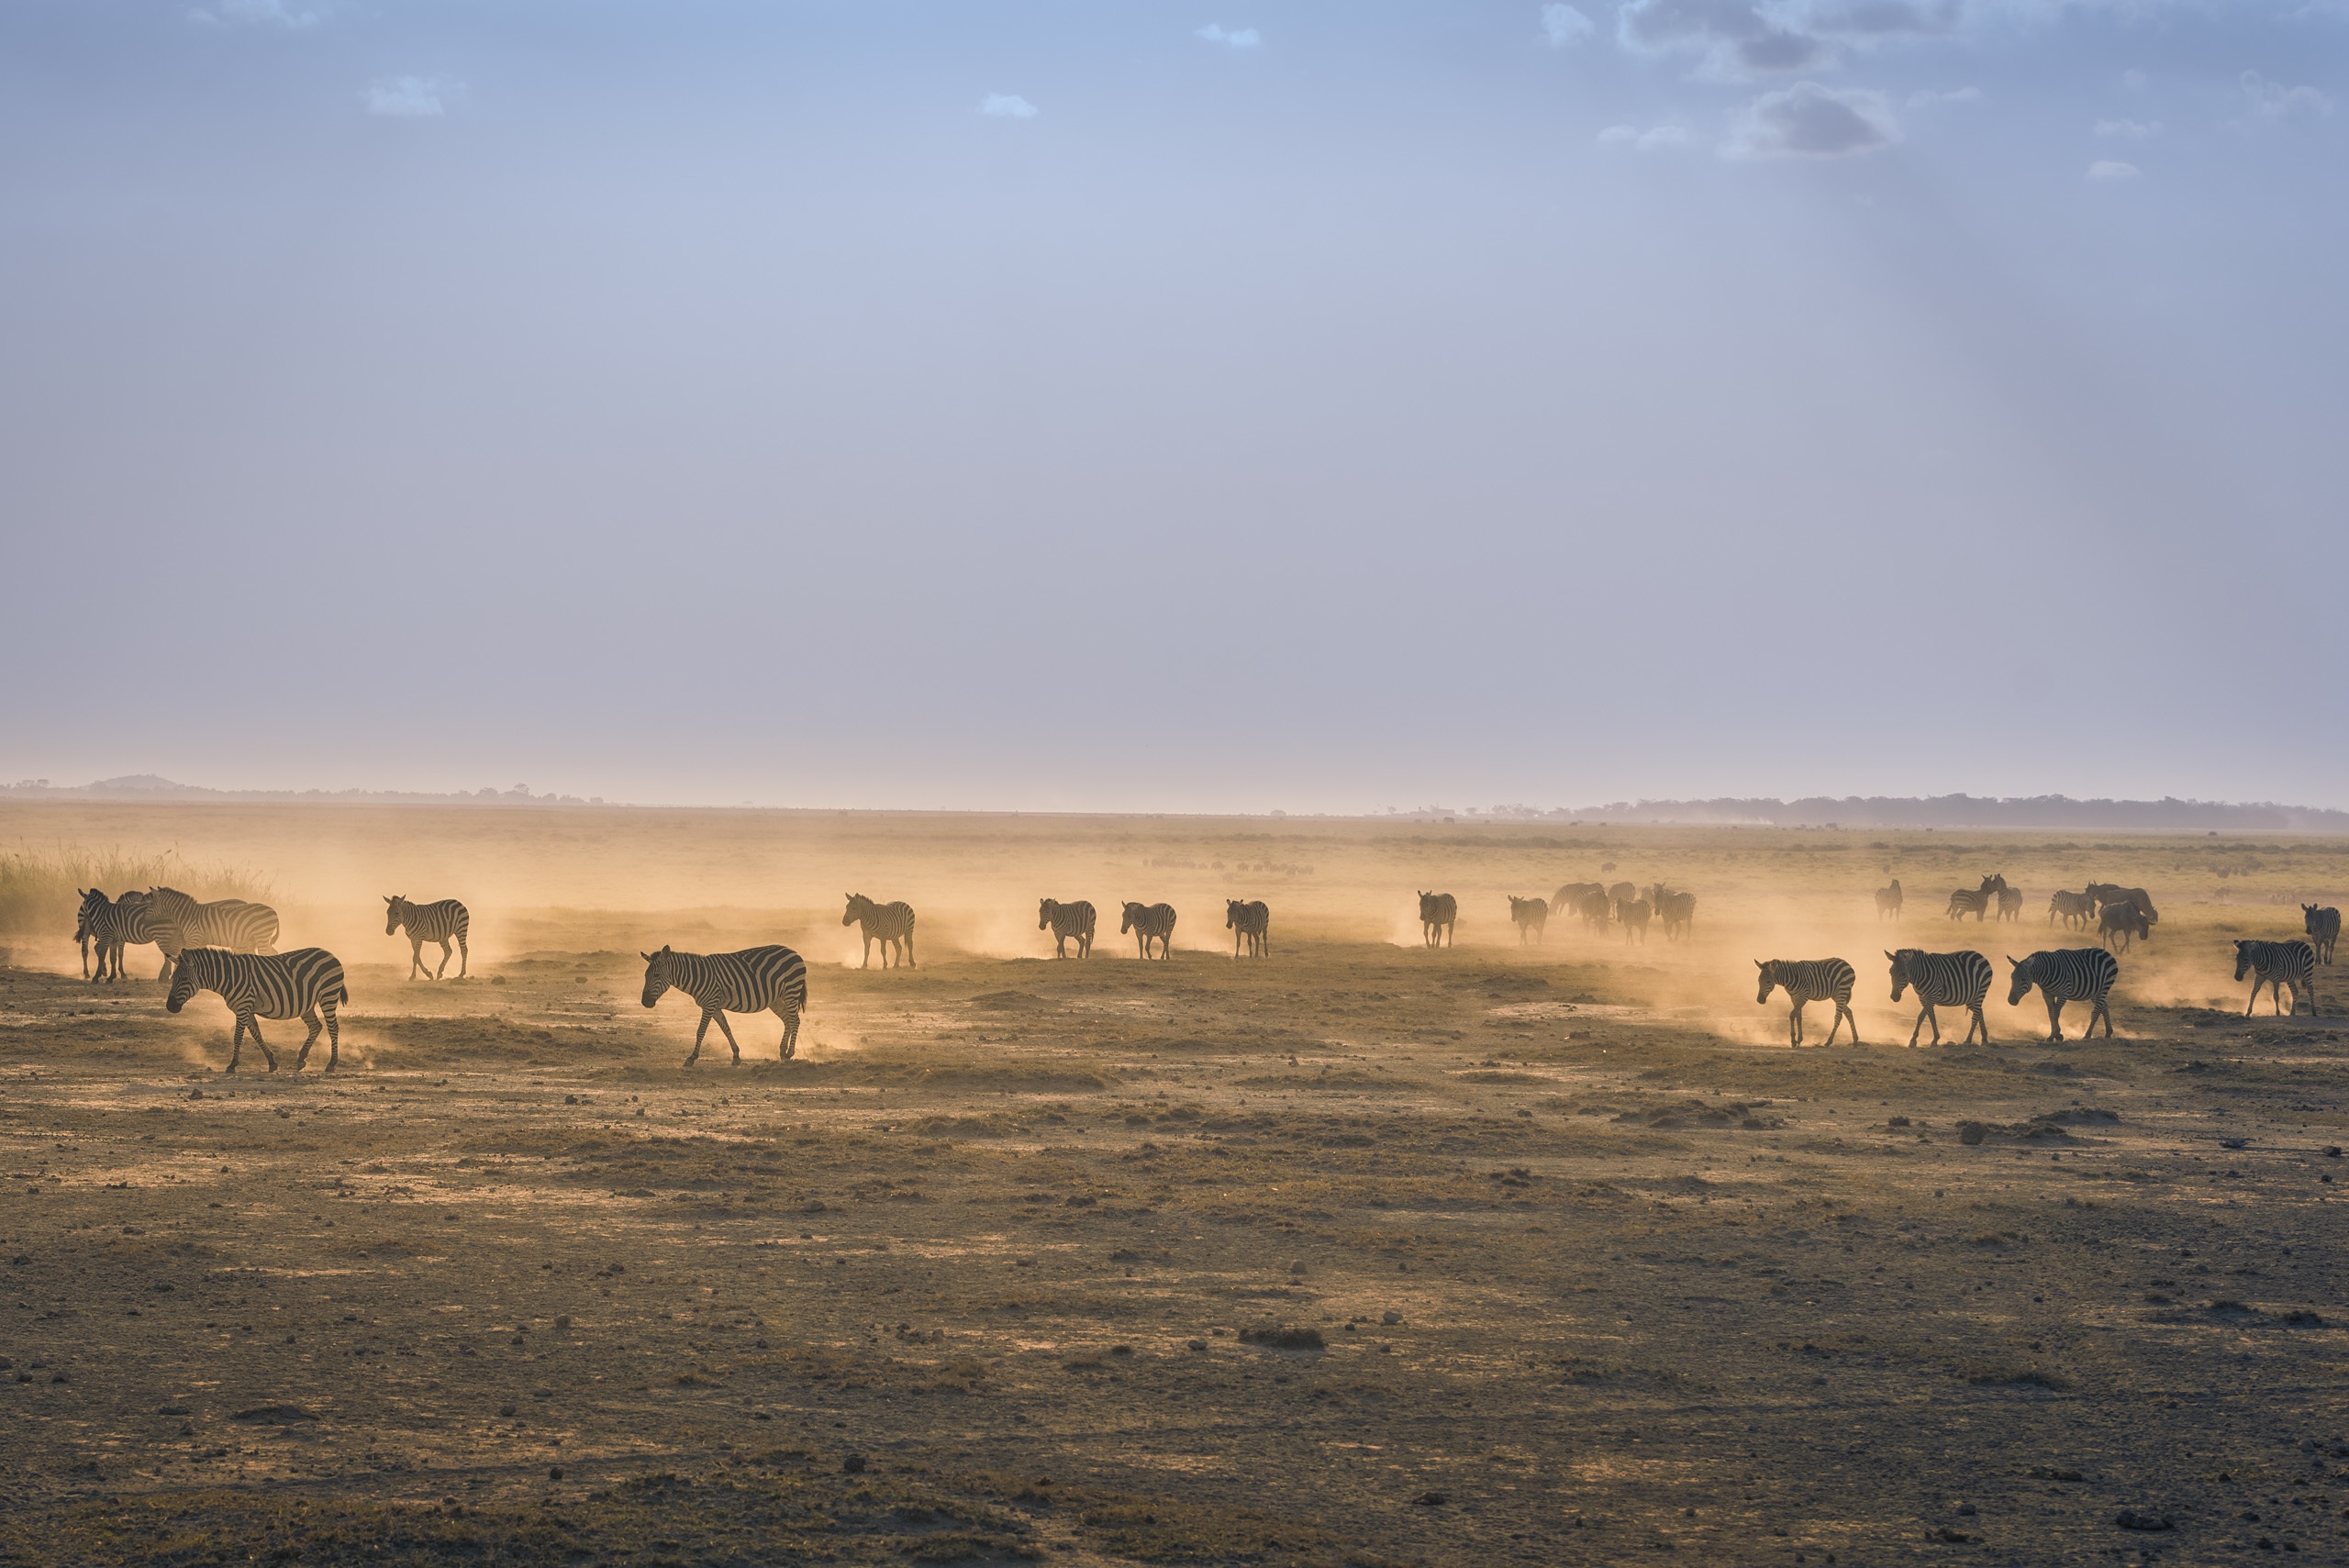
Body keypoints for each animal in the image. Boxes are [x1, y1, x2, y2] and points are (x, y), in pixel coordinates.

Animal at [165, 948, 350, 1070]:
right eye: (173, 979)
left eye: (183, 979)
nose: (170, 1006)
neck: (229, 978)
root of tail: (330, 954)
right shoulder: (246, 1009)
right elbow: (257, 1035)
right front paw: (271, 1062)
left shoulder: (243, 1007)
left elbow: (238, 1037)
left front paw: (232, 1064)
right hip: (307, 1005)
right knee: (316, 1026)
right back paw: (301, 1058)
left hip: (328, 995)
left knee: (333, 1027)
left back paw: (332, 1063)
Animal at [639, 943, 812, 1065]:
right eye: (645, 975)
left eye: (656, 975)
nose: (645, 1002)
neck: (697, 976)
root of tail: (793, 952)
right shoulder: (714, 1007)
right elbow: (726, 1028)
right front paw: (736, 1055)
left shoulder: (709, 1004)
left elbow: (700, 1031)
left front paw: (692, 1057)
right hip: (776, 999)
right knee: (787, 1020)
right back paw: (782, 1052)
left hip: (791, 991)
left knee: (795, 1020)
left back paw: (790, 1052)